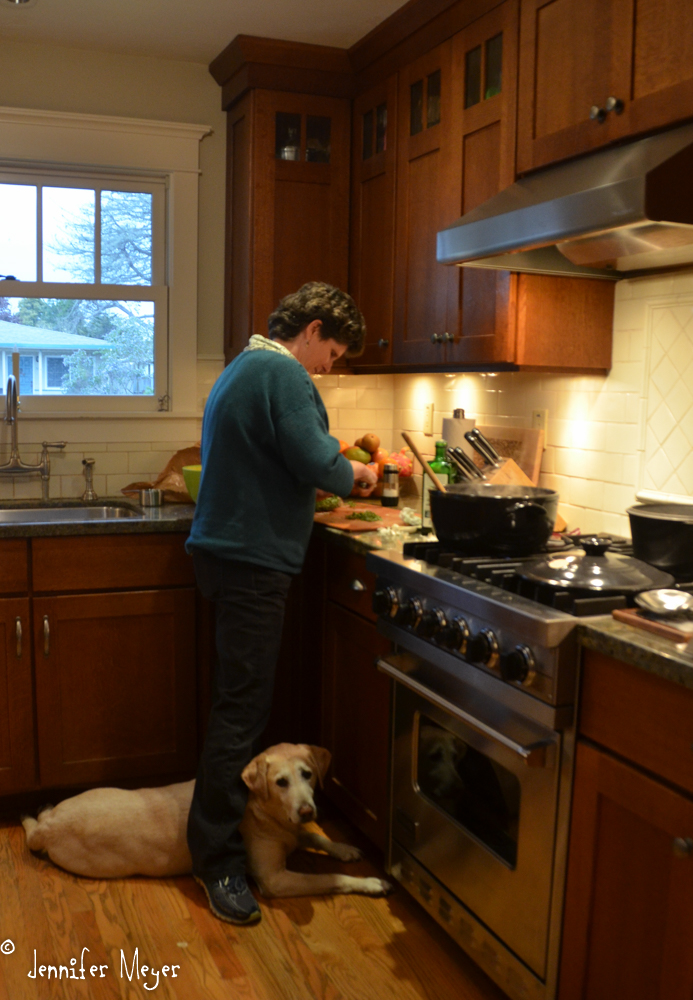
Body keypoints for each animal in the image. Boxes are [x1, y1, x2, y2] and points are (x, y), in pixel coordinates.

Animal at [20, 744, 390, 900]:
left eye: (308, 775)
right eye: (281, 782)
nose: (307, 811)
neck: (267, 813)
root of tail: (50, 826)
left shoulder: (292, 832)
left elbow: (318, 838)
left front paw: (344, 848)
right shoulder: (276, 879)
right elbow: (330, 878)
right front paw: (371, 883)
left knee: (40, 814)